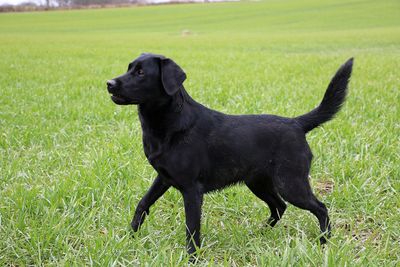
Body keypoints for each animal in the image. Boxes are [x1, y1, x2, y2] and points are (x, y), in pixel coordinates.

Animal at [106, 54, 354, 255]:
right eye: (129, 68)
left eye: (140, 73)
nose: (109, 83)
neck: (169, 122)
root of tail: (296, 123)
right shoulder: (163, 178)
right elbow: (143, 204)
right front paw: (130, 237)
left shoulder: (192, 190)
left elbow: (192, 228)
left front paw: (192, 257)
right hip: (258, 183)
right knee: (279, 206)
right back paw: (260, 233)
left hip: (291, 184)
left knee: (319, 207)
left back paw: (324, 241)